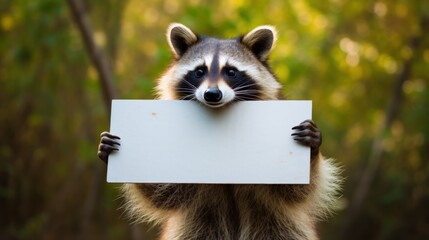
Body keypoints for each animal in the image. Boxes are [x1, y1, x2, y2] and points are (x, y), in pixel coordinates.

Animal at [98, 23, 342, 240]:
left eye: (231, 71)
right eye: (199, 71)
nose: (212, 94)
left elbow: (295, 191)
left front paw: (312, 149)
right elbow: (166, 193)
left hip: (277, 226)